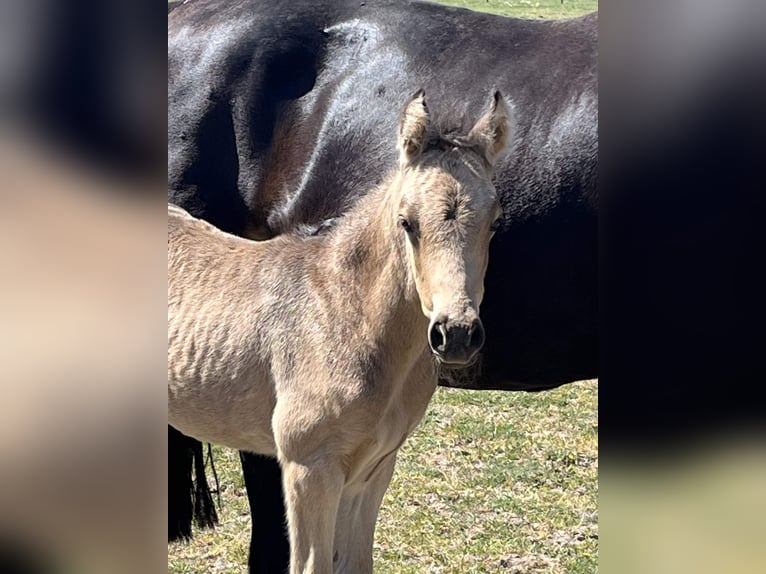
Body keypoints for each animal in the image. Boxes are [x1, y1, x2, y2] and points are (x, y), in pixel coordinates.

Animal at [169, 91, 516, 574]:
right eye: (407, 222)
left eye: (494, 221)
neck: (346, 315)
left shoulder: (373, 469)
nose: (458, 334)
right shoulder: (310, 467)